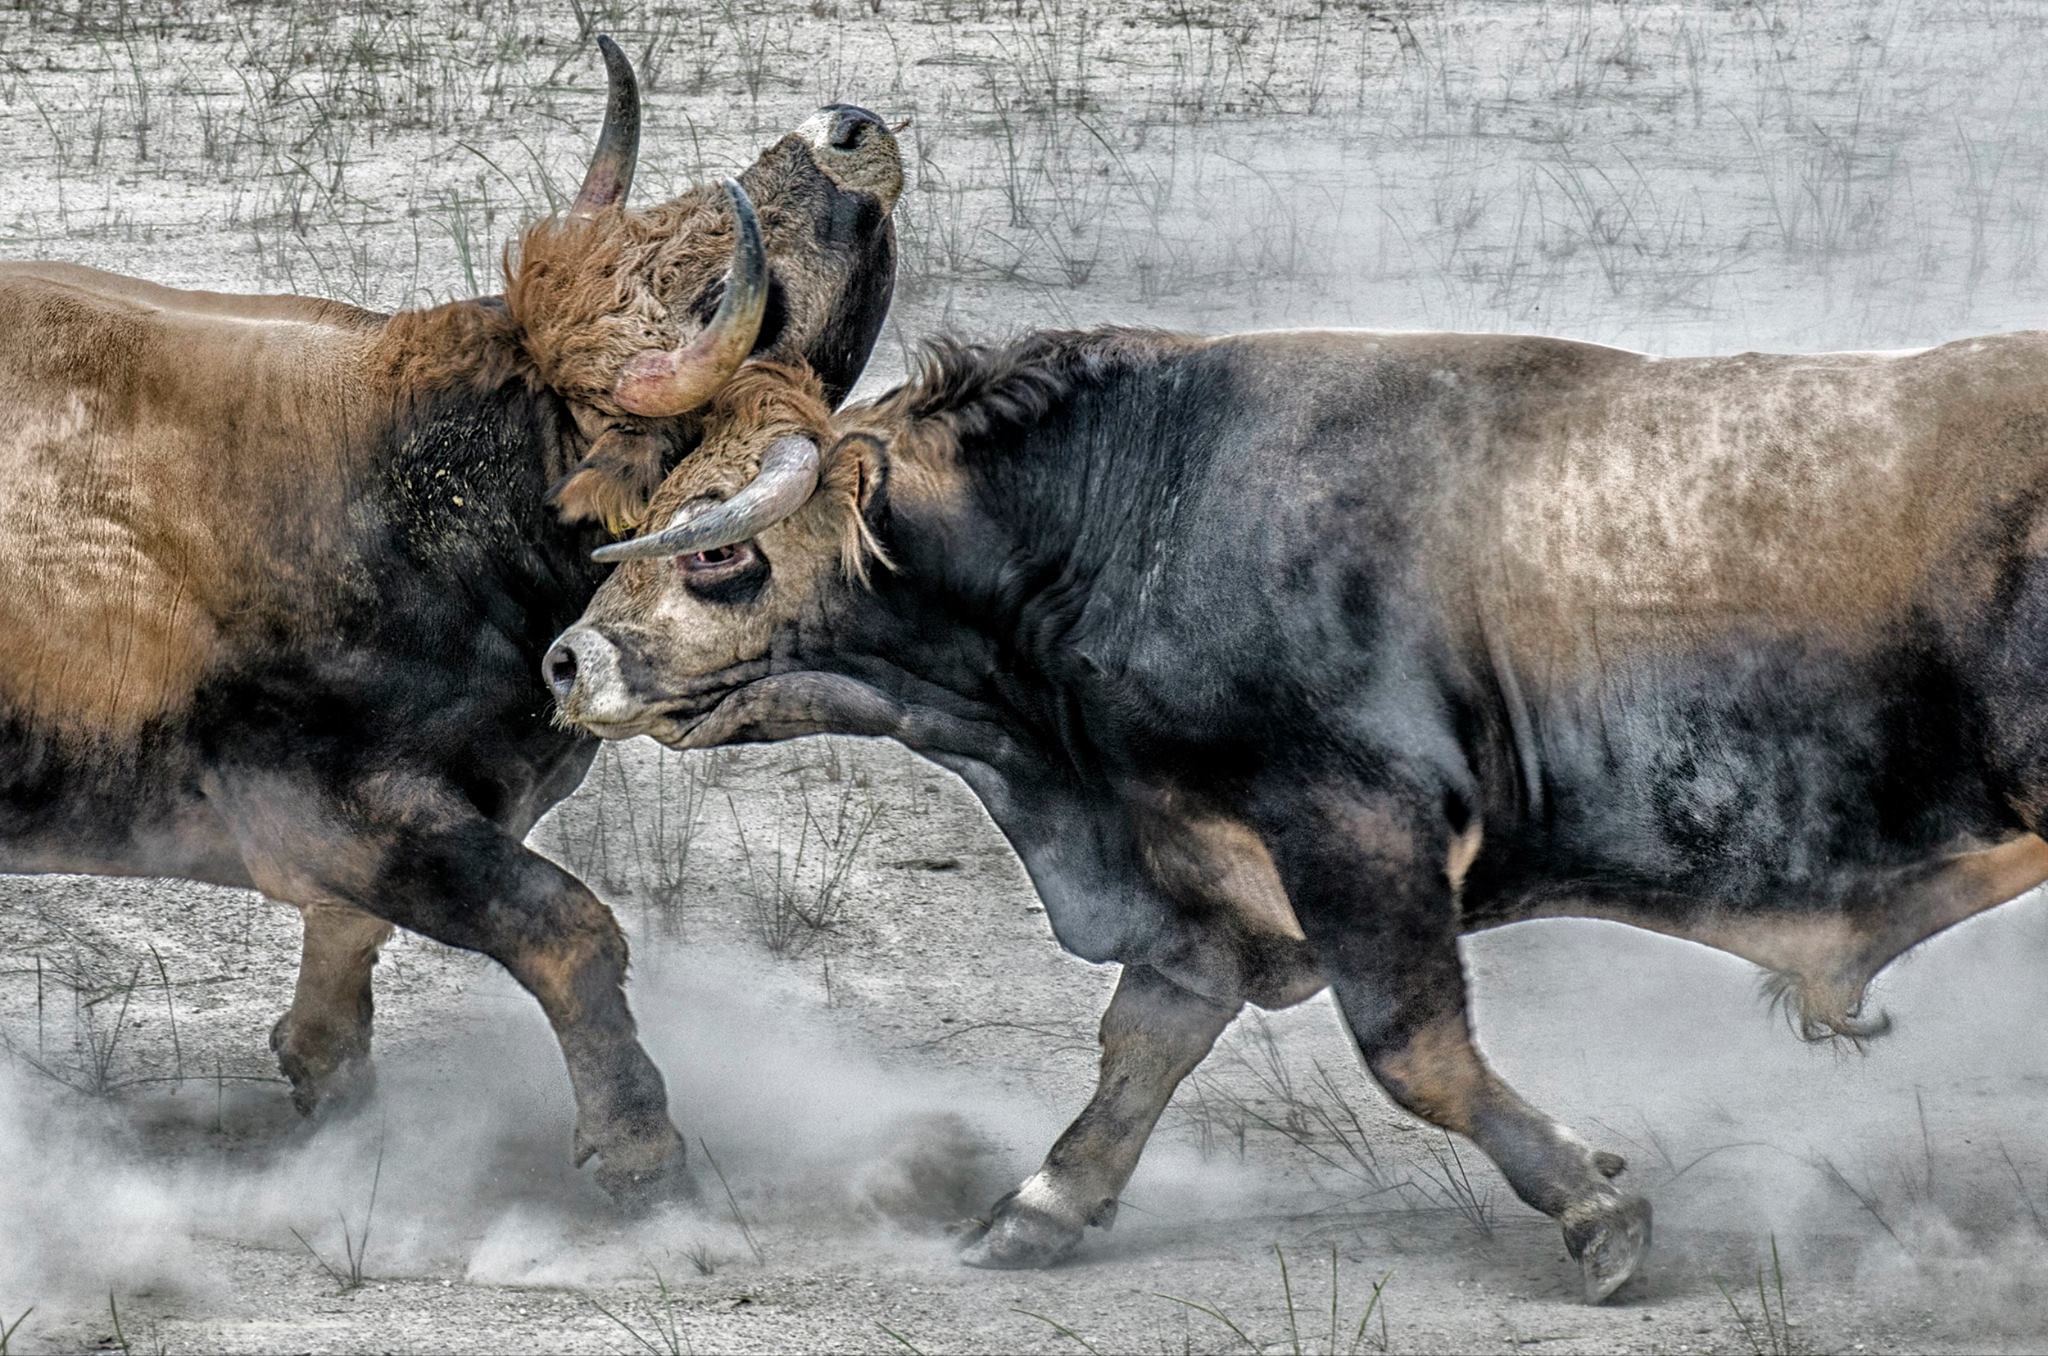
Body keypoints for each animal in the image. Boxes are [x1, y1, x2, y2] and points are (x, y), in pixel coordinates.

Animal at [0, 42, 905, 1204]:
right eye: (720, 290)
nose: (845, 131)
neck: (428, 481)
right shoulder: (334, 810)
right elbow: (564, 925)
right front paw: (640, 1148)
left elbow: (356, 942)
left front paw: (327, 1083)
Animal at [552, 327, 2048, 1294]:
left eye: (721, 549)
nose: (568, 661)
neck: (1137, 510)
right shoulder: (1203, 870)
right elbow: (1145, 1041)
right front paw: (1038, 1208)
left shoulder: (1357, 828)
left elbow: (1414, 1051)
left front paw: (1597, 1212)